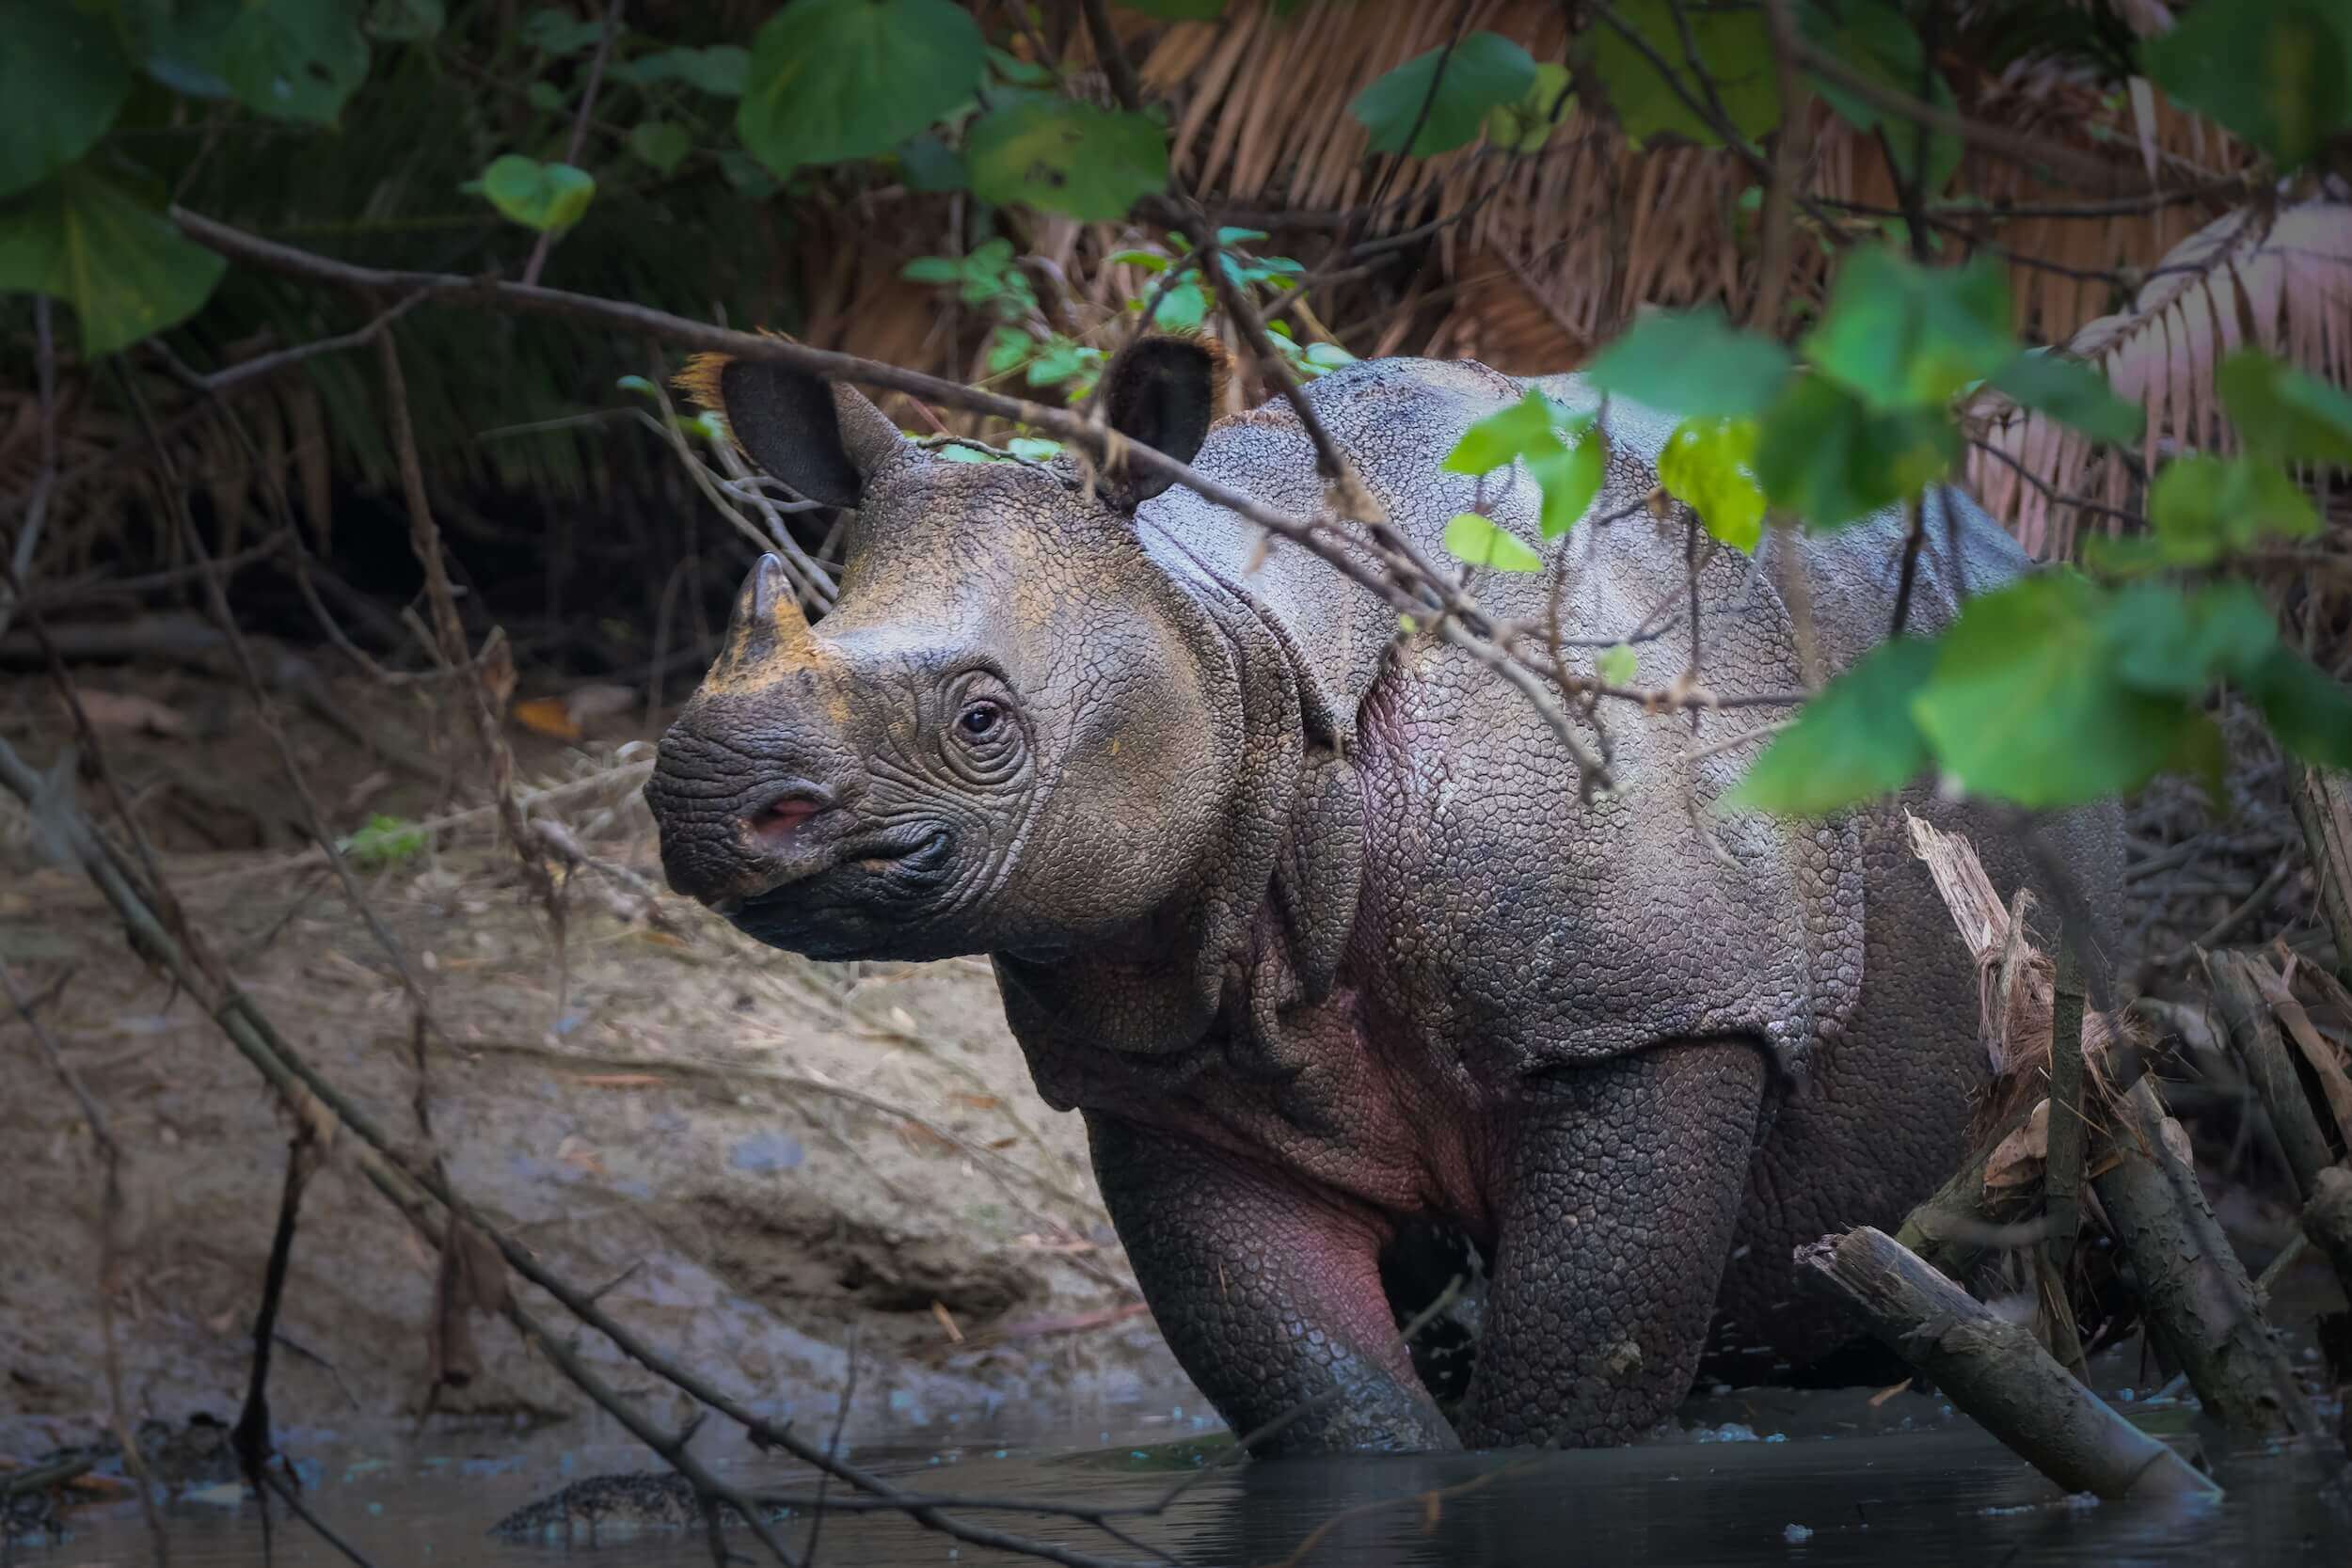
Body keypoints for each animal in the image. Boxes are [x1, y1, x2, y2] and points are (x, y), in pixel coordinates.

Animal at [645, 340, 2120, 1452]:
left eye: (982, 721)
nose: (706, 808)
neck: (1238, 656)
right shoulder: (1167, 1060)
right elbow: (1327, 1401)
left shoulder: (1658, 1005)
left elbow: (1572, 1384)